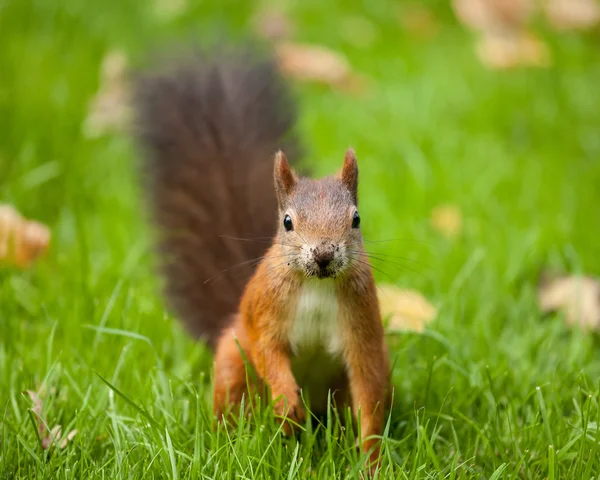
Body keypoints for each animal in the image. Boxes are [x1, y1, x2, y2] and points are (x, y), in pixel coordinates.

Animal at [134, 42, 392, 468]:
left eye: (356, 219)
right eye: (287, 222)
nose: (323, 253)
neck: (316, 285)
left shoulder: (362, 327)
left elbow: (369, 391)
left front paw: (372, 461)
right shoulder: (264, 311)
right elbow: (267, 352)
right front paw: (287, 408)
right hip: (232, 361)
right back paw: (238, 442)